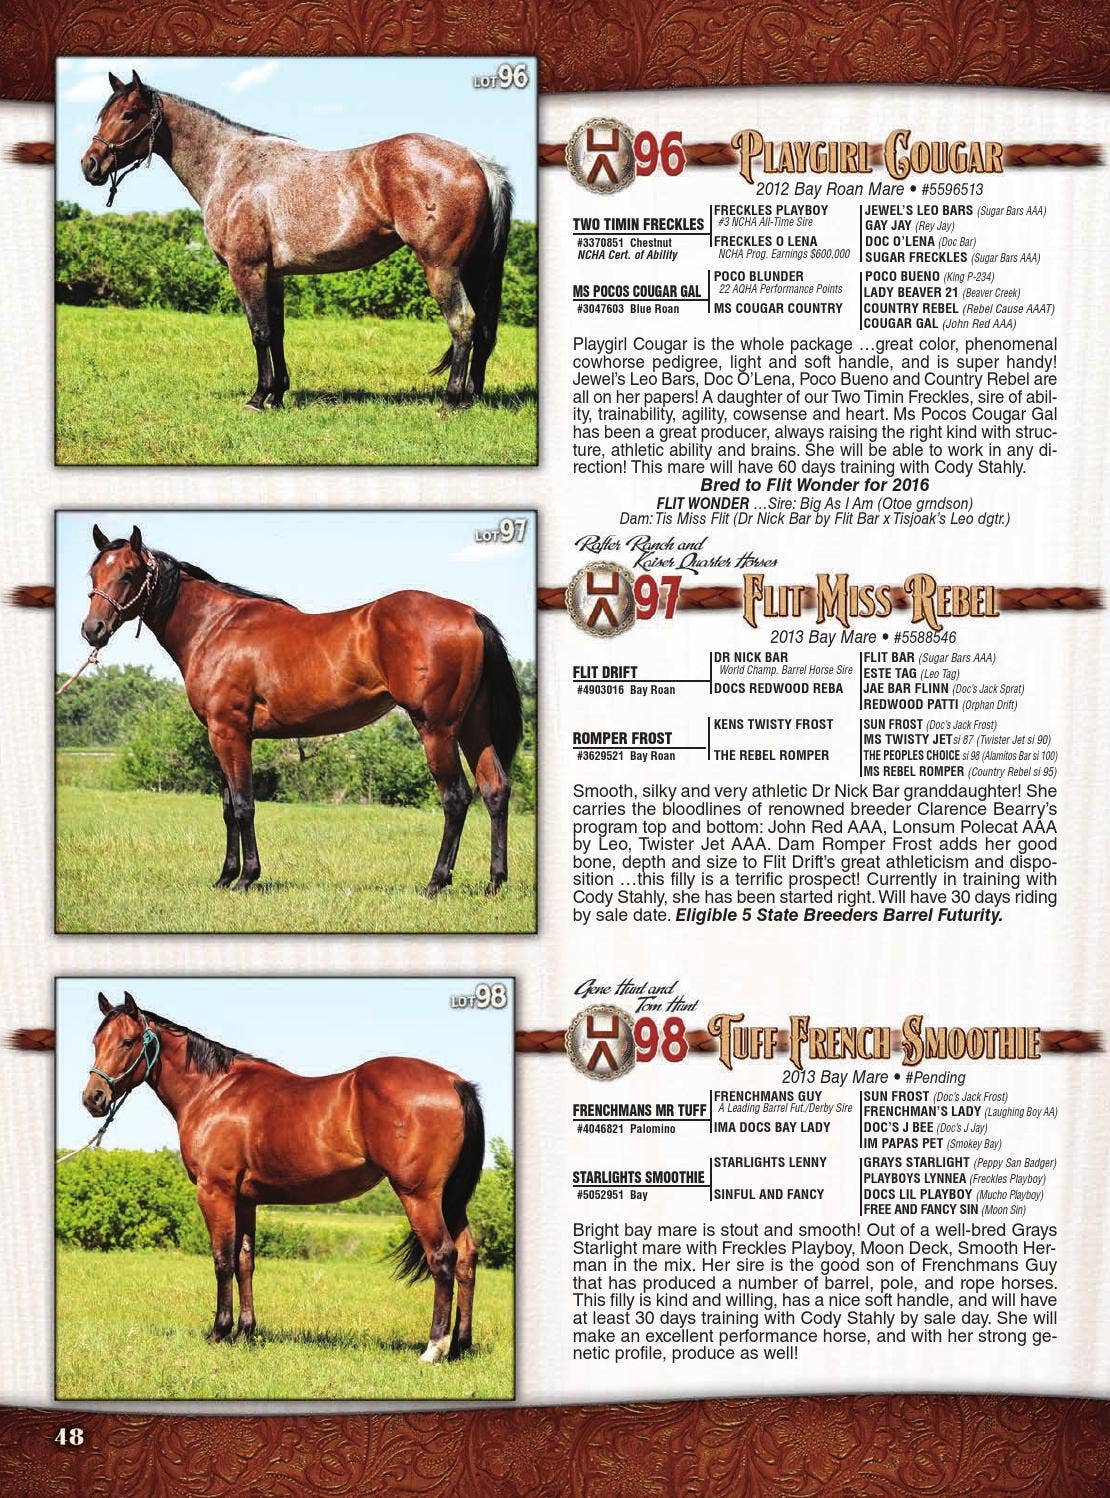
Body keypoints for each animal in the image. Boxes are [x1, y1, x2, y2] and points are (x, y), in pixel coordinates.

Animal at [79, 524, 523, 898]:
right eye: (93, 574)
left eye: (129, 573)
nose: (91, 630)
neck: (214, 628)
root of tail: (468, 614)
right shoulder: (220, 735)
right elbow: (227, 807)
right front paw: (224, 877)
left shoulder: (229, 733)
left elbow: (244, 805)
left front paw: (246, 878)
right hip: (472, 727)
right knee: (494, 790)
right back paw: (494, 883)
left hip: (436, 728)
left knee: (456, 798)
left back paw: (435, 883)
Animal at [80, 70, 514, 409]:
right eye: (103, 114)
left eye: (129, 114)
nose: (90, 165)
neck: (231, 166)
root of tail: (476, 160)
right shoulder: (273, 274)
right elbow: (277, 330)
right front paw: (277, 394)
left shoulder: (247, 269)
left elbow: (258, 331)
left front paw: (258, 397)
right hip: (473, 268)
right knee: (484, 329)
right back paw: (472, 397)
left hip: (441, 267)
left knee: (463, 322)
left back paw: (450, 401)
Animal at [81, 992, 485, 1362]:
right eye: (96, 1042)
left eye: (128, 1041)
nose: (93, 1098)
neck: (212, 1092)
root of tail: (454, 1082)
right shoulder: (245, 1199)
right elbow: (245, 1262)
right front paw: (245, 1333)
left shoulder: (215, 1191)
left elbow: (222, 1260)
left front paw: (219, 1332)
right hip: (450, 1199)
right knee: (466, 1257)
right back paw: (460, 1346)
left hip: (419, 1195)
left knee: (443, 1257)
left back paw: (434, 1348)